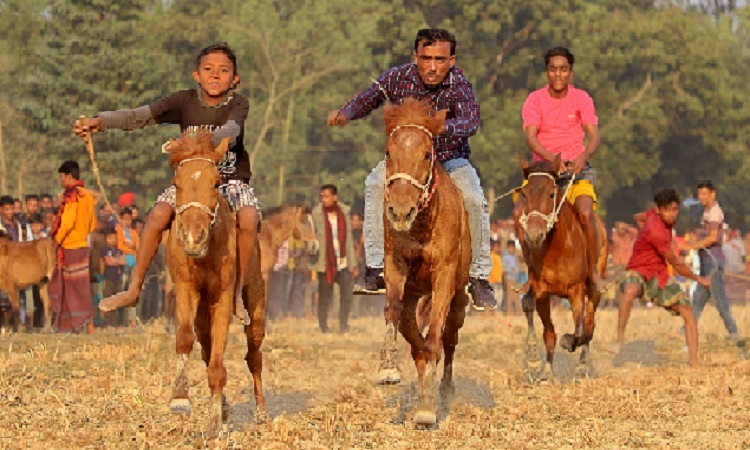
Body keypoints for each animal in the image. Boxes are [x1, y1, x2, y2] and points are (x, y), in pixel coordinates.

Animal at [166, 131, 268, 436]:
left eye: (215, 183)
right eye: (177, 183)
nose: (193, 237)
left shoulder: (223, 295)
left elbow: (219, 364)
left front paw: (214, 425)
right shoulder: (186, 287)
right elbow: (185, 338)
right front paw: (180, 398)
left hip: (256, 296)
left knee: (254, 353)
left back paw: (261, 413)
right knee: (206, 345)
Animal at [378, 98, 472, 426]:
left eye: (427, 154)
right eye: (388, 152)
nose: (400, 210)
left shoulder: (444, 277)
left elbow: (435, 340)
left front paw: (428, 409)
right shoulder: (395, 267)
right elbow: (393, 311)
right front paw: (388, 368)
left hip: (459, 300)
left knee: (449, 340)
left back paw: (443, 389)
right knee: (413, 334)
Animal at [516, 156, 612, 382]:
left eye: (551, 194)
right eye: (524, 194)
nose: (534, 234)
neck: (556, 247)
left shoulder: (576, 290)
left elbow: (578, 329)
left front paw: (570, 342)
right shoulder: (541, 291)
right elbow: (546, 328)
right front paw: (541, 366)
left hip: (594, 286)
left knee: (589, 324)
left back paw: (582, 365)